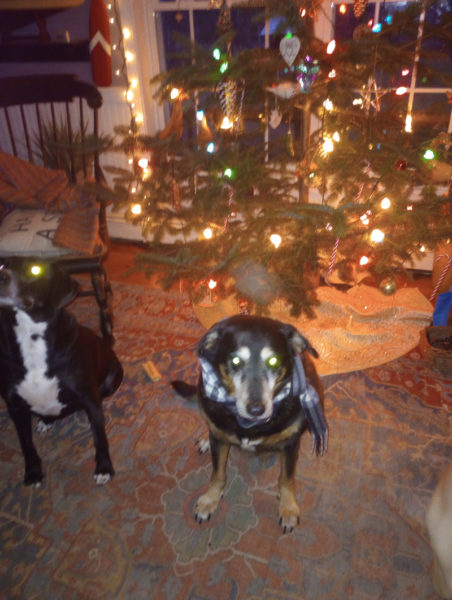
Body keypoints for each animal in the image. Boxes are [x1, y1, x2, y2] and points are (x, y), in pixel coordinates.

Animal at [0, 258, 122, 488]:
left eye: (35, 270)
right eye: (2, 265)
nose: (1, 276)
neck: (31, 339)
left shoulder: (89, 396)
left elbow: (100, 438)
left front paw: (103, 468)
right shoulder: (15, 407)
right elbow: (26, 445)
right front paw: (33, 474)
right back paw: (46, 420)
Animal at [171, 316, 326, 532]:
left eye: (273, 361)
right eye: (235, 360)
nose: (256, 409)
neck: (250, 424)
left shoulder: (290, 443)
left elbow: (286, 478)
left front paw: (288, 508)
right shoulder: (220, 440)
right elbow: (217, 473)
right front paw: (210, 500)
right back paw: (205, 439)